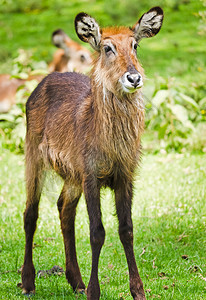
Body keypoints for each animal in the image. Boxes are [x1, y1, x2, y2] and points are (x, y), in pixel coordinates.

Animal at [20, 7, 163, 300]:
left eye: (135, 45)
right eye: (107, 48)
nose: (134, 77)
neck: (111, 146)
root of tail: (46, 79)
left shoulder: (125, 176)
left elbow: (127, 230)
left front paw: (138, 290)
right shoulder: (91, 176)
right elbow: (97, 232)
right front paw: (95, 291)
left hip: (71, 175)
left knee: (64, 209)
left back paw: (76, 280)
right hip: (34, 158)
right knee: (31, 213)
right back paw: (28, 282)